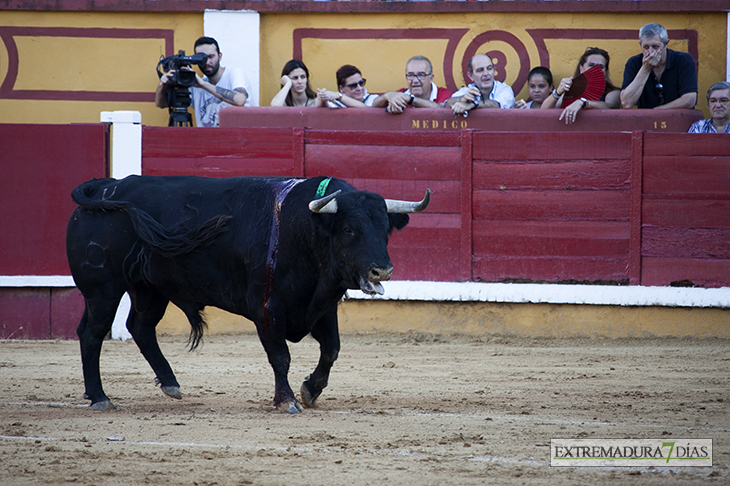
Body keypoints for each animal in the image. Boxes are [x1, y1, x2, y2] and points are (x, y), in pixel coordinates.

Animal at [65, 177, 430, 412]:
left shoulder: (322, 307)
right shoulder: (268, 308)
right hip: (103, 289)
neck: (303, 229)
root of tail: (104, 187)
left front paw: (310, 390)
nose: (382, 270)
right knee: (92, 333)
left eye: (385, 230)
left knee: (140, 328)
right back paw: (99, 397)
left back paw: (170, 383)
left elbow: (331, 350)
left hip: (150, 288)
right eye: (349, 229)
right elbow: (281, 356)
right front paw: (287, 400)